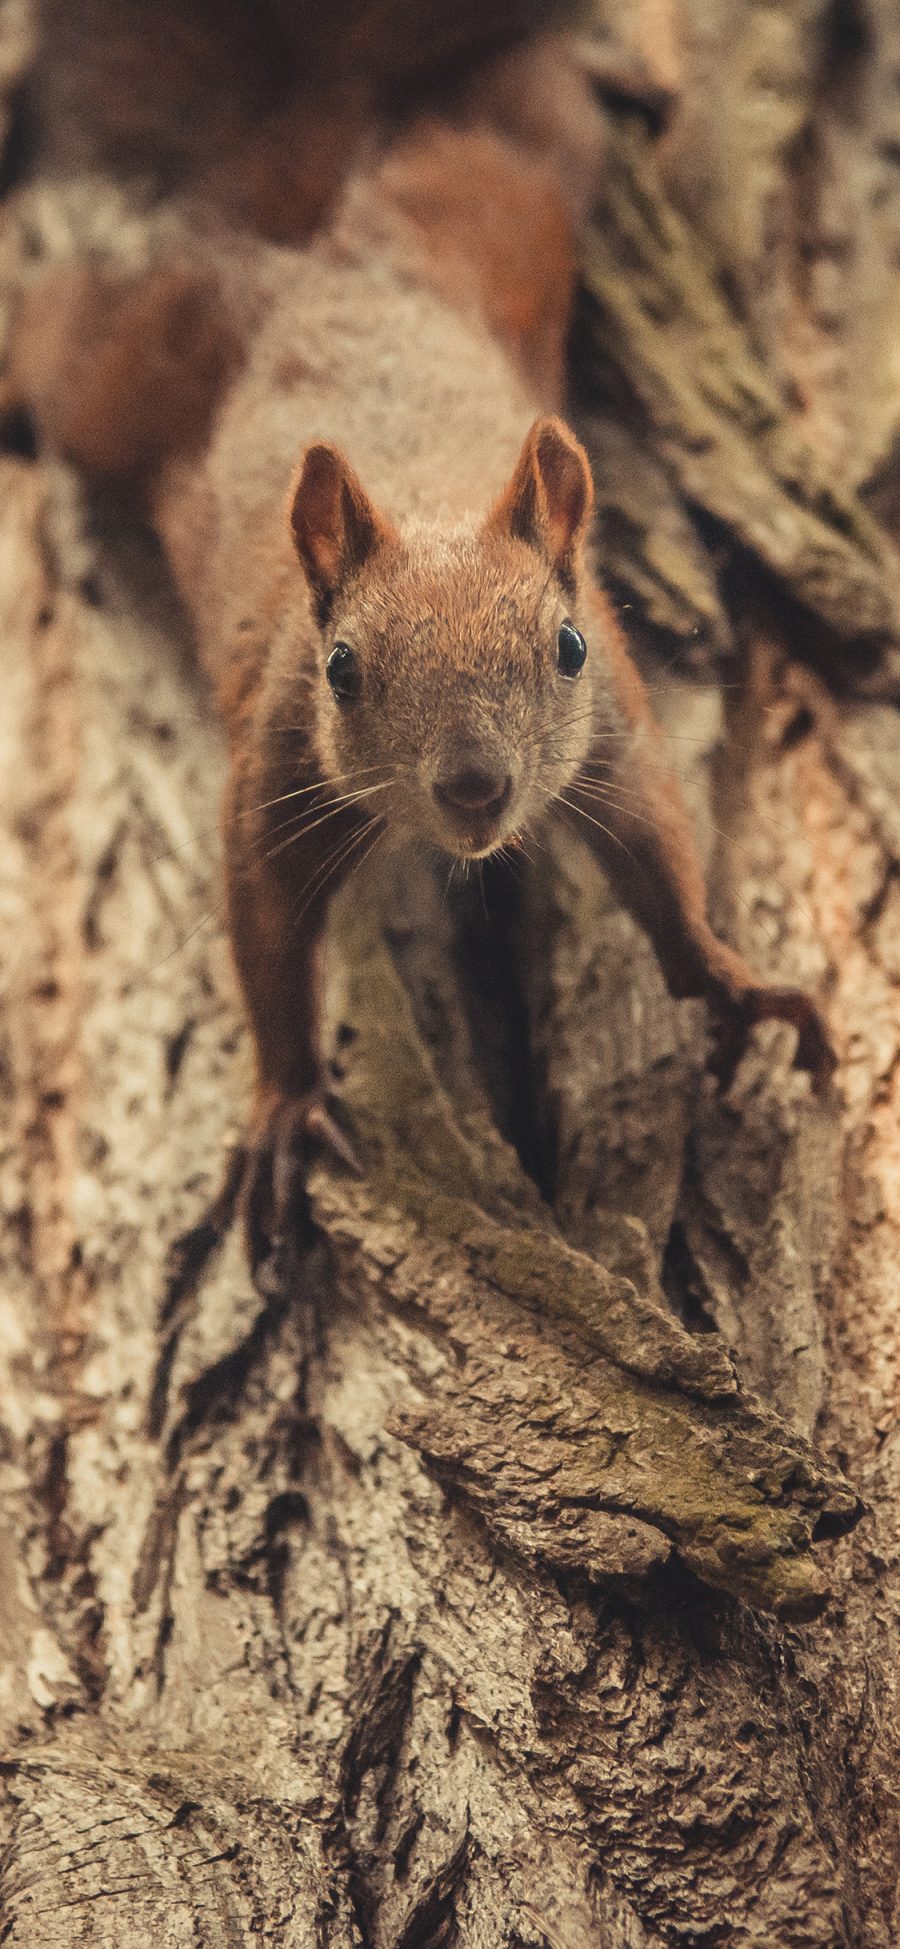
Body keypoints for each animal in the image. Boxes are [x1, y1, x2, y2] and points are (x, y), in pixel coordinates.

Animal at [10, 41, 833, 1278]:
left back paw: (617, 76)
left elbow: (654, 843)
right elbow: (265, 928)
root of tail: (319, 239)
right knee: (61, 333)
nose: (477, 786)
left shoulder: (612, 721)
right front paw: (288, 1103)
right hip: (123, 381)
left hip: (510, 191)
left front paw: (726, 977)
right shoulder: (279, 760)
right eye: (342, 667)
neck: (433, 498)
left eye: (568, 645)